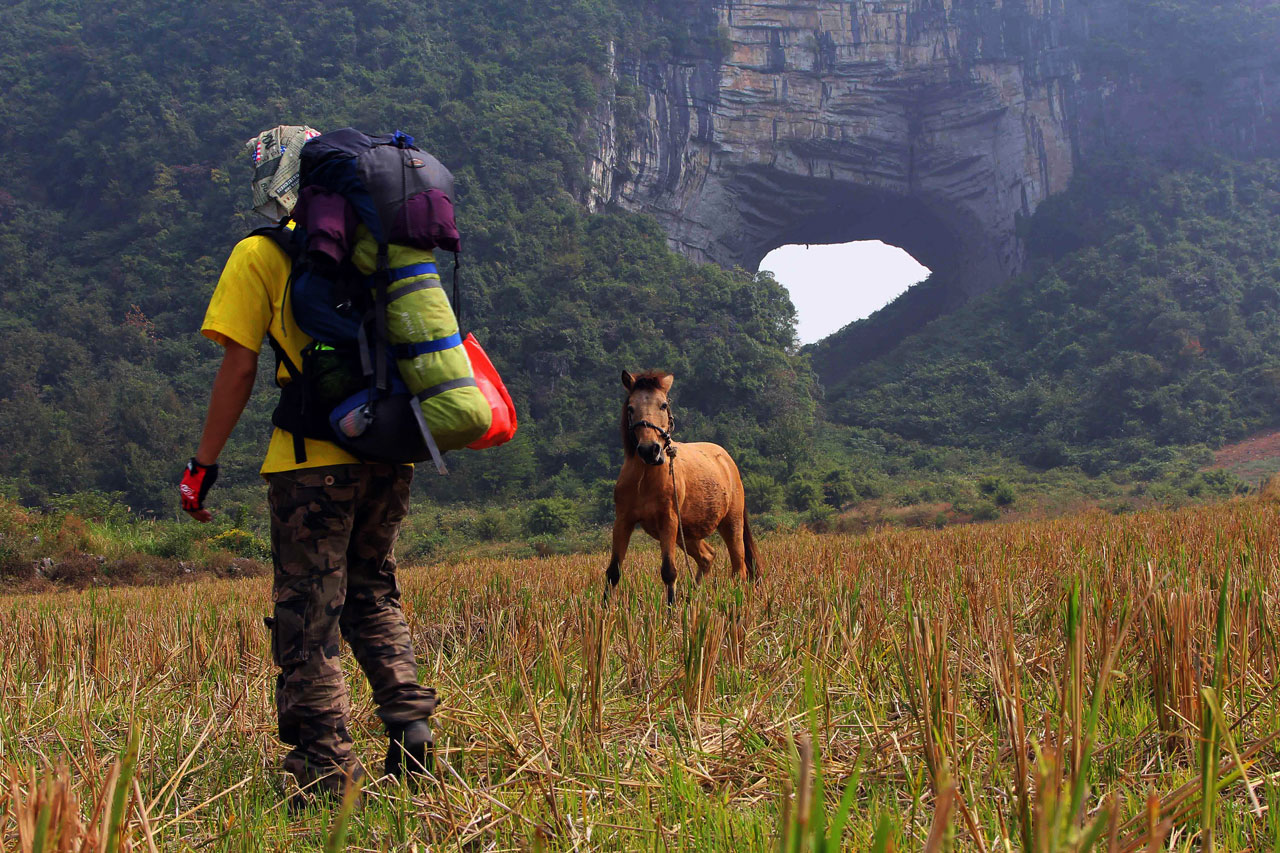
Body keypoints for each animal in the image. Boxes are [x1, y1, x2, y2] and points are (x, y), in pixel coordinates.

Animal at [601, 368, 752, 601]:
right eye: (631, 407)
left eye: (663, 405)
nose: (649, 450)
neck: (644, 478)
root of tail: (727, 460)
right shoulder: (623, 521)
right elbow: (613, 572)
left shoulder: (669, 521)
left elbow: (669, 572)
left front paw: (671, 609)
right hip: (687, 534)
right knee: (707, 557)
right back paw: (694, 597)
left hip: (731, 524)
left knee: (739, 568)